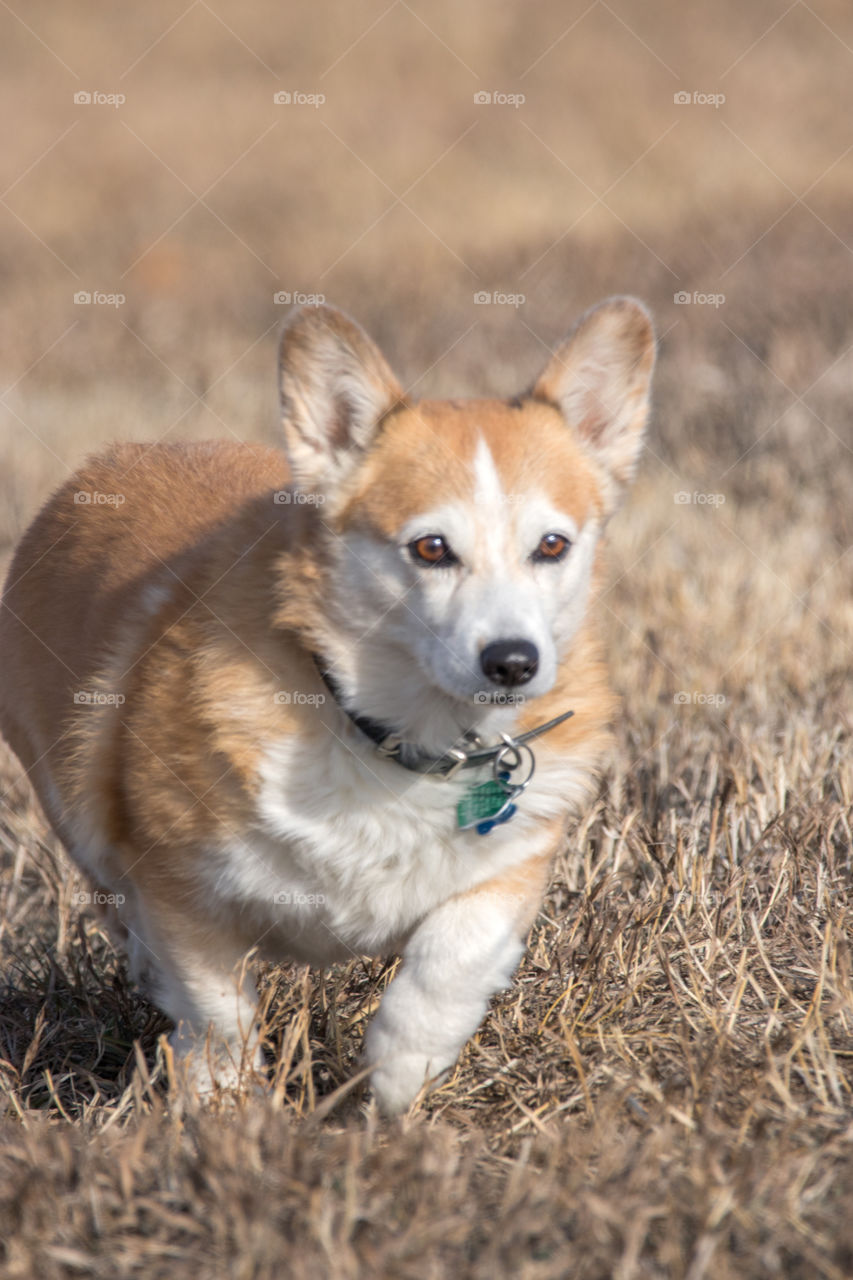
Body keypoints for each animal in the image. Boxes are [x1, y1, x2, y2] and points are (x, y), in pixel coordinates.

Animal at [0, 296, 650, 1111]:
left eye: (552, 545)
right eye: (431, 548)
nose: (512, 662)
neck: (395, 737)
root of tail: (118, 456)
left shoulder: (507, 869)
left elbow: (448, 965)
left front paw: (397, 1081)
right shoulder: (181, 888)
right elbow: (218, 1012)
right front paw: (225, 1106)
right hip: (79, 821)